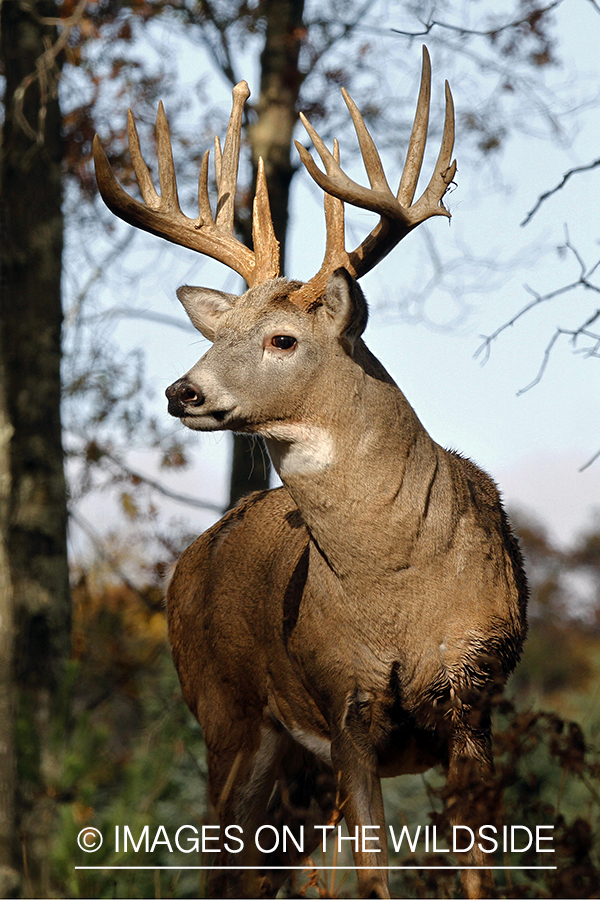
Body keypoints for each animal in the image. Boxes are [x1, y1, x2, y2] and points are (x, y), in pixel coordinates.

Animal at [91, 51, 528, 900]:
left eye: (283, 339)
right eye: (219, 330)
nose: (182, 392)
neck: (399, 585)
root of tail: (188, 560)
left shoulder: (475, 700)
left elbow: (475, 873)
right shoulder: (345, 707)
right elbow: (374, 878)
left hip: (292, 765)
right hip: (227, 713)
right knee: (223, 865)